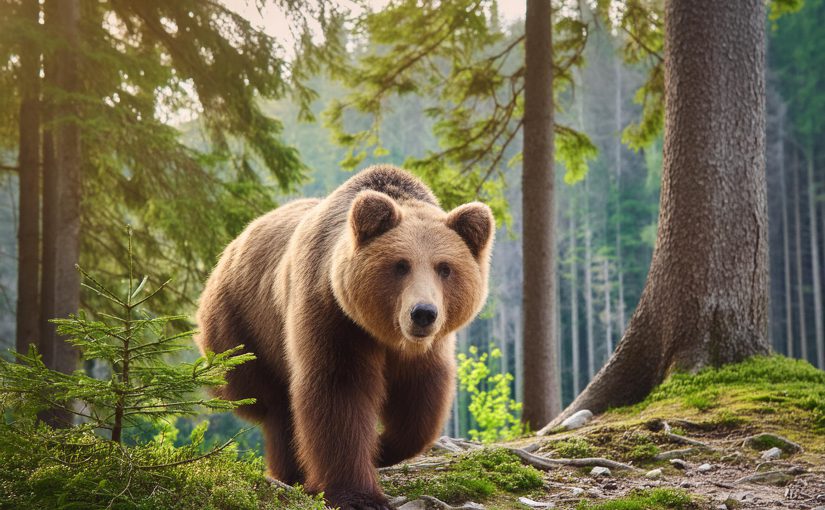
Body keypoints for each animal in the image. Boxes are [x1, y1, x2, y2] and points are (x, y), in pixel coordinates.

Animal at [195, 165, 494, 509]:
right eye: (401, 265)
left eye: (444, 268)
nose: (423, 313)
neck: (386, 335)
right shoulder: (334, 317)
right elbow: (338, 392)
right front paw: (360, 495)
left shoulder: (427, 349)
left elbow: (420, 403)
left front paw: (382, 448)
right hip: (243, 328)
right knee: (273, 402)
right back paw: (295, 475)